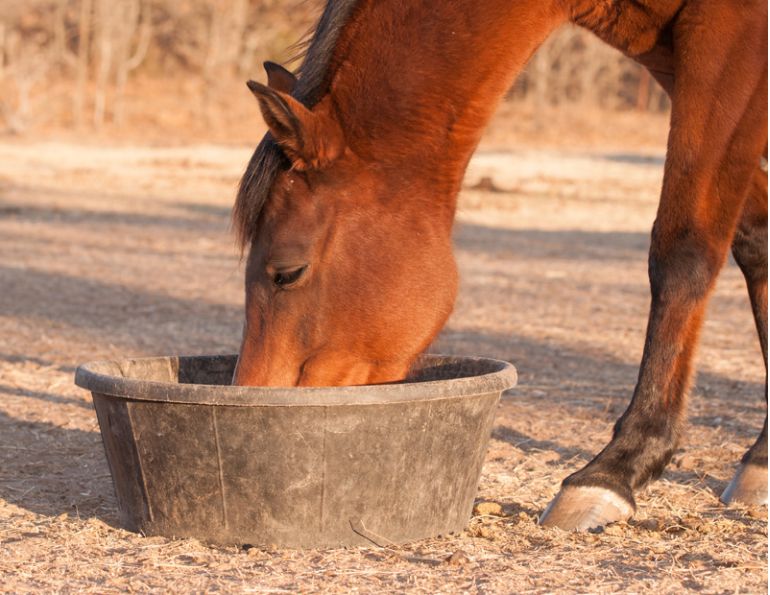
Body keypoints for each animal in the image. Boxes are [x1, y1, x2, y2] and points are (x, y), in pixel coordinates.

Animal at [231, 0, 768, 531]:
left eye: (287, 272)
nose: (255, 397)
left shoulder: (729, 38)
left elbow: (684, 250)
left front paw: (616, 467)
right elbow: (755, 243)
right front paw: (760, 460)